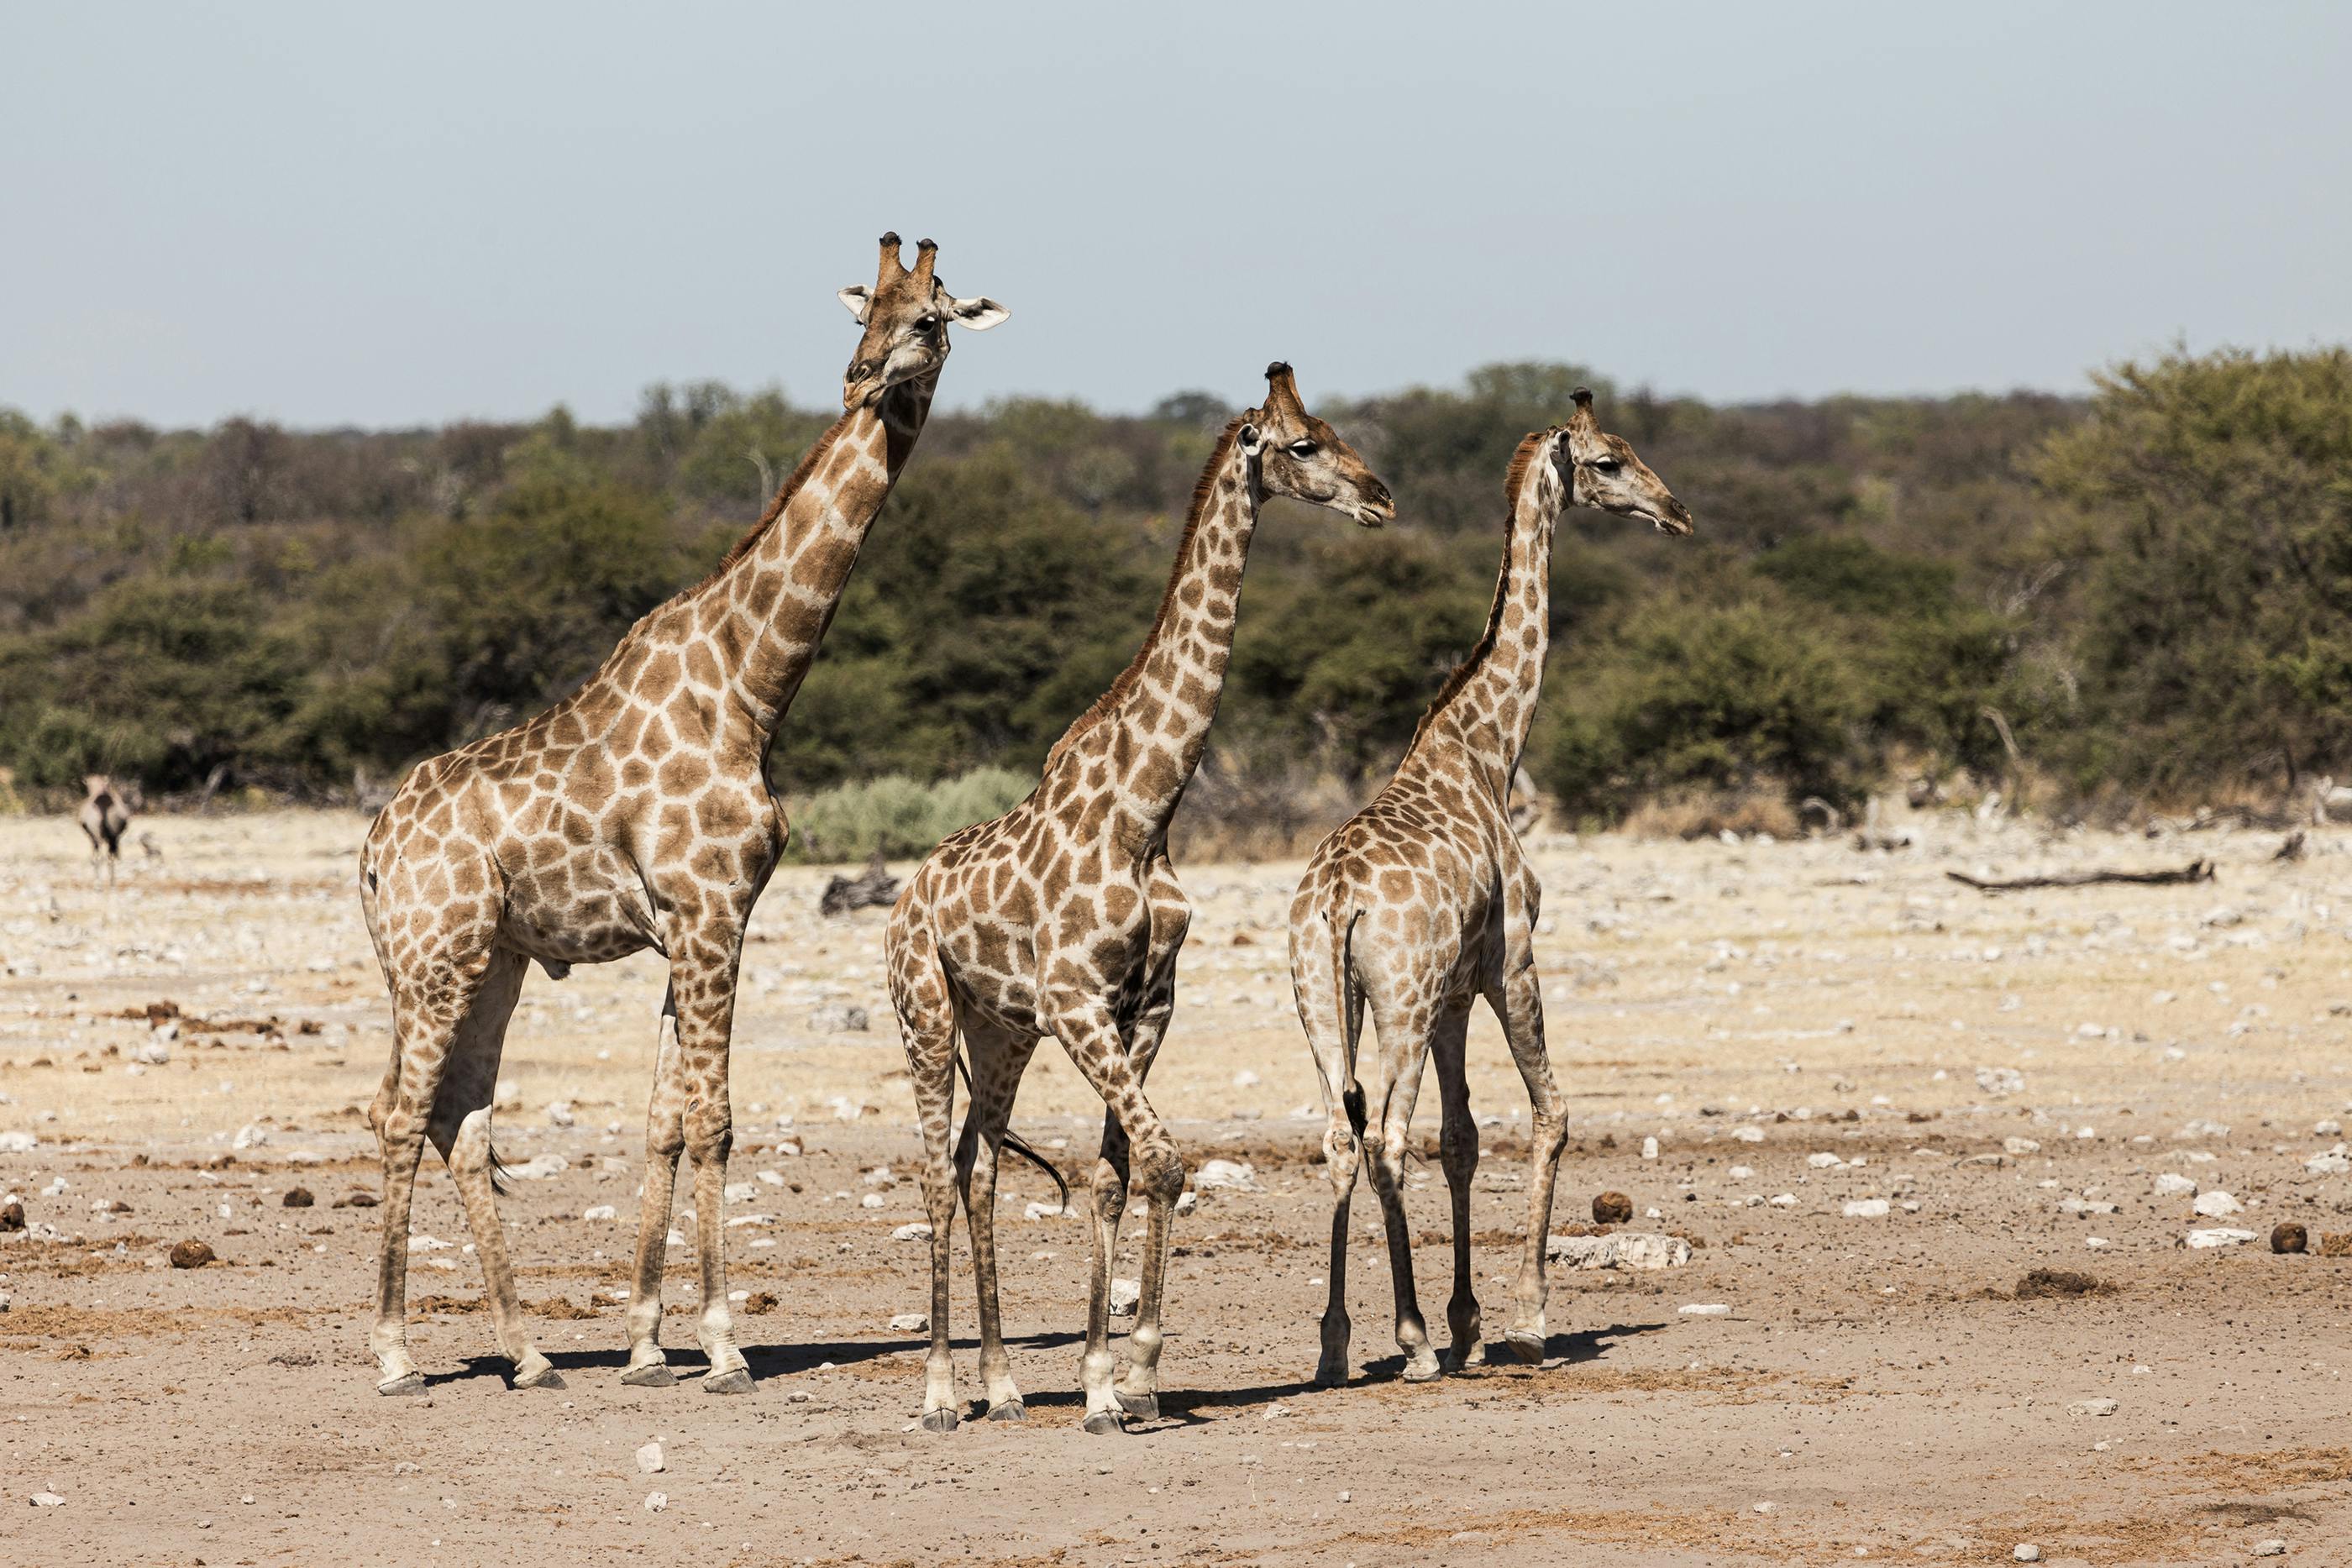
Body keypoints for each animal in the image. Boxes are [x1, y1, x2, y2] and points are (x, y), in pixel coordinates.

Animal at [356, 234, 1006, 1397]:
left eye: (928, 319)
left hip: (490, 961)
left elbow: (661, 1120)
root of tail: (374, 855)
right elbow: (713, 1120)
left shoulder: (691, 924)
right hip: (433, 959)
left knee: (459, 1119)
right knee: (400, 1115)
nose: (862, 381)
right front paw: (722, 1342)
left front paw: (648, 1342)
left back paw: (529, 1353)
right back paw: (393, 1355)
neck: (750, 686)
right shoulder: (711, 912)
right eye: (863, 317)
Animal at [885, 363, 1395, 1434]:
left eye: (1335, 430)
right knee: (933, 1175)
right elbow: (1158, 1162)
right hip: (923, 1012)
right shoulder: (1080, 1001)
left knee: (978, 1166)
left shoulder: (1142, 1006)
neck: (1146, 809)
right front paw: (1126, 1378)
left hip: (1001, 1030)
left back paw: (1001, 1386)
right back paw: (943, 1393)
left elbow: (1119, 1176)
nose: (1380, 498)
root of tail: (906, 897)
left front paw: (1113, 1378)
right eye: (1302, 445)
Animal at [1287, 389, 1691, 1387]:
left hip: (1323, 998)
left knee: (1342, 1135)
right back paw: (1411, 1341)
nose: (1676, 512)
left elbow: (1463, 1140)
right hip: (1396, 999)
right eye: (1610, 460)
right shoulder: (1510, 963)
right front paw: (1524, 1321)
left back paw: (1337, 1343)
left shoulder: (1455, 997)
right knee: (1385, 1138)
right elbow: (1549, 1115)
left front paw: (1469, 1319)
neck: (1487, 745)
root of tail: (1336, 901)